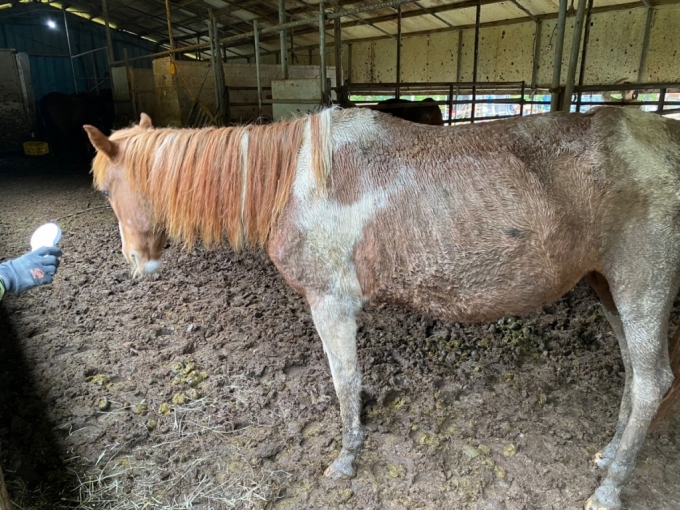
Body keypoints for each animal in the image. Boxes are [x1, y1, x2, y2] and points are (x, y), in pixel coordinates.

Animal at [83, 106, 680, 510]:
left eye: (108, 191)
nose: (137, 263)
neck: (298, 178)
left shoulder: (329, 302)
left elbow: (345, 381)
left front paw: (347, 458)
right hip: (606, 287)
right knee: (633, 374)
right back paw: (608, 456)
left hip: (640, 288)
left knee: (652, 381)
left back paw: (610, 487)